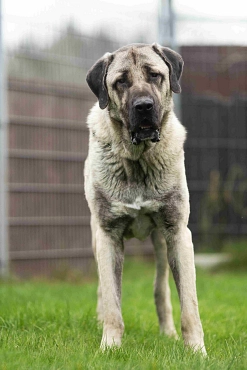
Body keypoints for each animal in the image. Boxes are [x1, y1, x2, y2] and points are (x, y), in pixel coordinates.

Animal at [85, 42, 206, 354]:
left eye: (154, 75)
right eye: (121, 81)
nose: (143, 106)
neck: (137, 159)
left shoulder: (177, 233)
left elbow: (189, 304)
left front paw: (196, 351)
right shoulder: (108, 236)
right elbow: (113, 302)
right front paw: (110, 347)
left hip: (162, 246)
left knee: (161, 289)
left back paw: (168, 333)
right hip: (96, 237)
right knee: (102, 290)